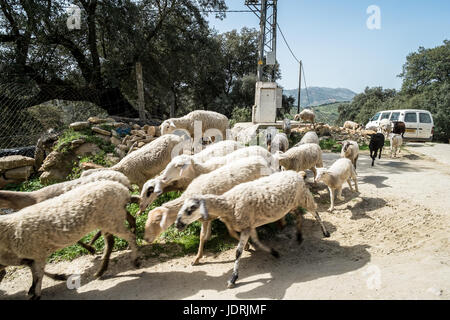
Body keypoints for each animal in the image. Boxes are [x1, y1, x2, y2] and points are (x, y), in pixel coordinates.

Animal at [0, 182, 139, 300]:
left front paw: (36, 294)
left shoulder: (37, 254)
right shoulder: (31, 257)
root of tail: (122, 190)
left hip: (112, 218)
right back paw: (101, 270)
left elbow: (38, 277)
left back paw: (135, 260)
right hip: (108, 221)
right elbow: (36, 275)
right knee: (112, 241)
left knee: (129, 236)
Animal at [143, 156, 274, 264]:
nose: (146, 239)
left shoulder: (219, 213)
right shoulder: (212, 216)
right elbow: (207, 235)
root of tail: (261, 160)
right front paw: (197, 257)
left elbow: (224, 233)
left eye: (157, 220)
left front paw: (247, 244)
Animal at [176, 171, 330, 288]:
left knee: (315, 213)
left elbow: (238, 252)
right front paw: (273, 252)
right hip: (292, 204)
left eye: (191, 209)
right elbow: (256, 241)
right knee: (298, 215)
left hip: (305, 197)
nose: (177, 224)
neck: (229, 203)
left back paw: (325, 232)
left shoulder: (246, 227)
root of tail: (296, 173)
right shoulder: (250, 225)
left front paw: (233, 279)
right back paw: (298, 236)